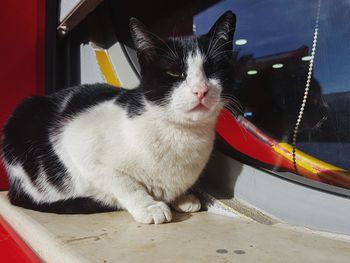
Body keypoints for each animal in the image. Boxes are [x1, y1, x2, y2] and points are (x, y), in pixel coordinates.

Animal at [1, 10, 237, 225]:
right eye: (174, 73)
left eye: (213, 70)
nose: (201, 91)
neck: (181, 135)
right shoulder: (79, 146)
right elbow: (124, 182)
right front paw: (149, 206)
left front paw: (183, 197)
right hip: (20, 118)